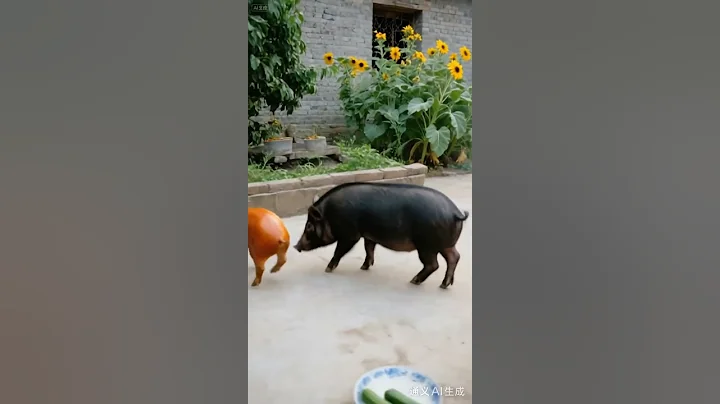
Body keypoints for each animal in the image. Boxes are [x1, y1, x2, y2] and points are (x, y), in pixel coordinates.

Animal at [293, 182, 469, 289]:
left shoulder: (350, 234)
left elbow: (340, 251)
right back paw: (444, 285)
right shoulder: (368, 235)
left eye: (309, 226)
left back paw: (414, 281)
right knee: (454, 257)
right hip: (446, 244)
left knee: (433, 264)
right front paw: (364, 267)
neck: (330, 214)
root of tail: (456, 213)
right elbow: (368, 248)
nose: (296, 246)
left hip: (426, 245)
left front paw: (327, 269)